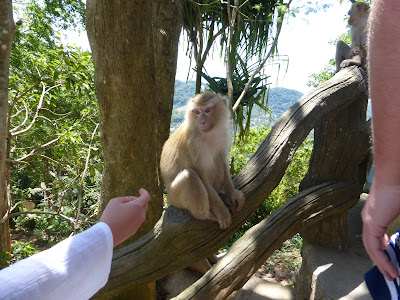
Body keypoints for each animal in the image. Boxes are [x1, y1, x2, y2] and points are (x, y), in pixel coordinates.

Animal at [159, 91, 244, 230]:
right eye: (197, 112)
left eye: (207, 110)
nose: (202, 121)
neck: (209, 133)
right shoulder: (192, 142)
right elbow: (200, 174)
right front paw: (221, 212)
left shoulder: (223, 133)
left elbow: (223, 160)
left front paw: (232, 194)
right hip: (174, 197)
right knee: (190, 176)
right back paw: (206, 215)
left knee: (217, 161)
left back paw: (222, 196)